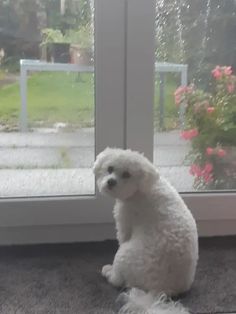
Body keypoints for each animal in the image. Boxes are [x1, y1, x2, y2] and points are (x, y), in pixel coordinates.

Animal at [93, 148, 198, 314]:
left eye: (126, 174)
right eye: (110, 169)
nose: (111, 181)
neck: (142, 188)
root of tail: (159, 288)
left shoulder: (125, 223)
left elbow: (122, 236)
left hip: (124, 254)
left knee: (117, 280)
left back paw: (109, 272)